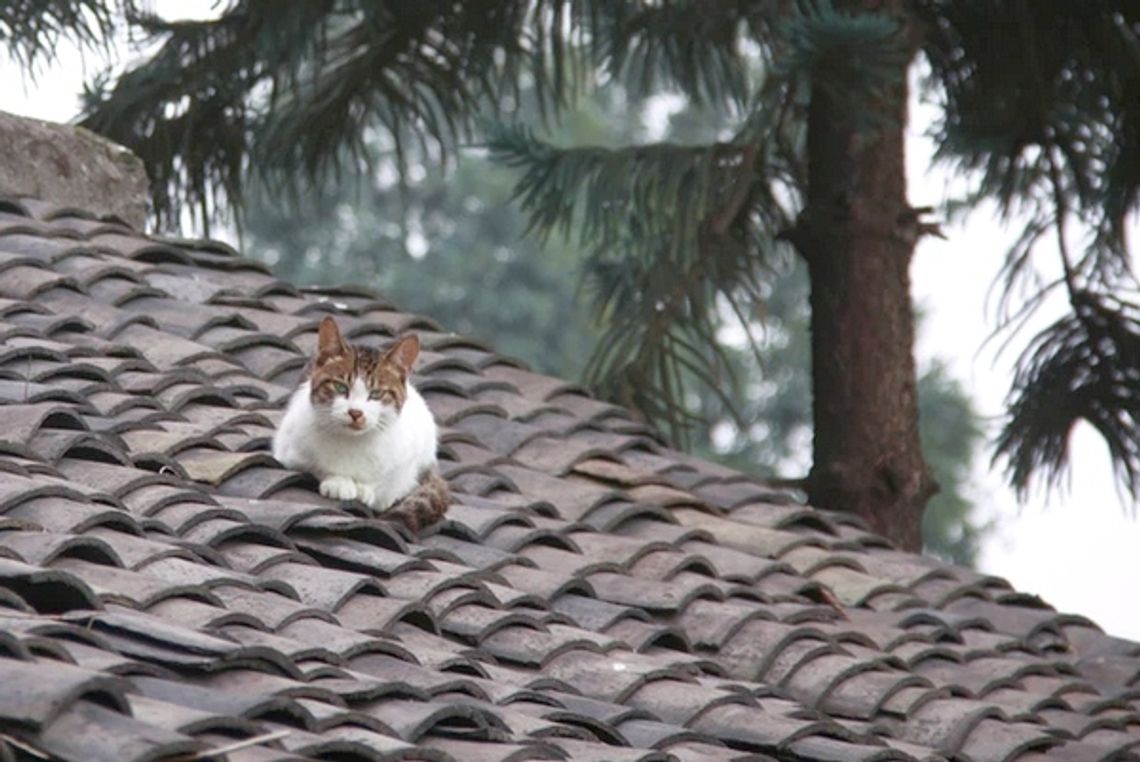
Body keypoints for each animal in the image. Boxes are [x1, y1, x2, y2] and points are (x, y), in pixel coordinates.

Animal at [272, 314, 449, 529]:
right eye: (340, 387)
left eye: (376, 393)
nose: (355, 412)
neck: (354, 442)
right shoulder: (287, 448)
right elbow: (315, 466)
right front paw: (339, 481)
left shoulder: (409, 460)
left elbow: (390, 481)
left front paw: (366, 488)